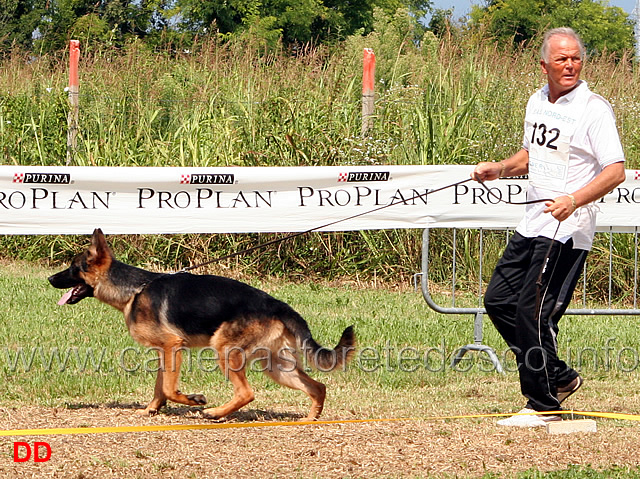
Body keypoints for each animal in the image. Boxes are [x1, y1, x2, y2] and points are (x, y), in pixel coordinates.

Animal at [48, 229, 360, 420]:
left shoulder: (173, 346)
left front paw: (194, 399)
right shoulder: (165, 352)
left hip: (224, 349)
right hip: (275, 366)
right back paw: (309, 419)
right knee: (318, 387)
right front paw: (150, 411)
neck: (134, 290)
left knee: (247, 393)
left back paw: (215, 413)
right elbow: (160, 387)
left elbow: (170, 389)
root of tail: (279, 305)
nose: (50, 279)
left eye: (72, 269)